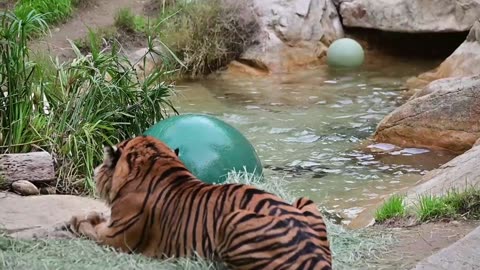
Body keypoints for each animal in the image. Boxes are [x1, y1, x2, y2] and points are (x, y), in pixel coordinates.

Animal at [65, 136, 332, 268]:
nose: (96, 172)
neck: (158, 162)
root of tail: (313, 254)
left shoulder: (114, 238)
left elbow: (87, 228)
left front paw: (75, 220)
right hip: (305, 201)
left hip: (233, 219)